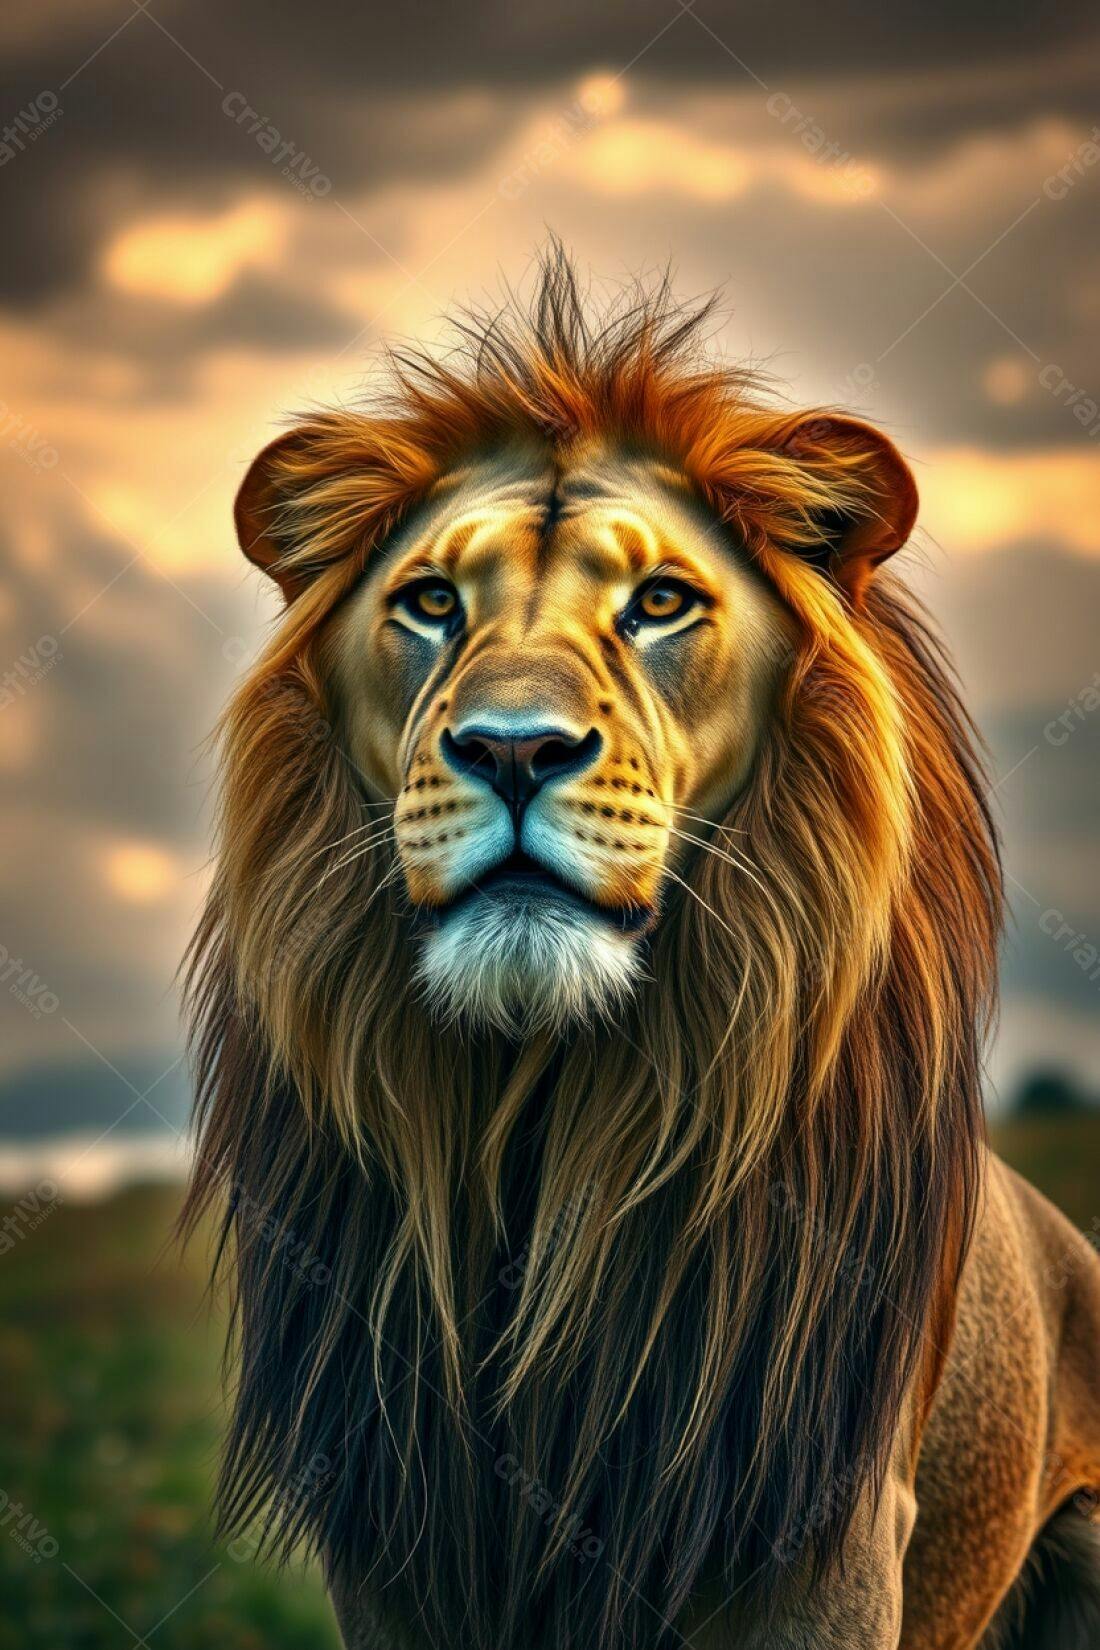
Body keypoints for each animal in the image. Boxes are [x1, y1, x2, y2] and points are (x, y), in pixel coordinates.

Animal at [184, 251, 1100, 1650]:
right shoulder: (396, 1540)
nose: (511, 749)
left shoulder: (813, 1538)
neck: (542, 1108)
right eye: (431, 603)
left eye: (658, 602)